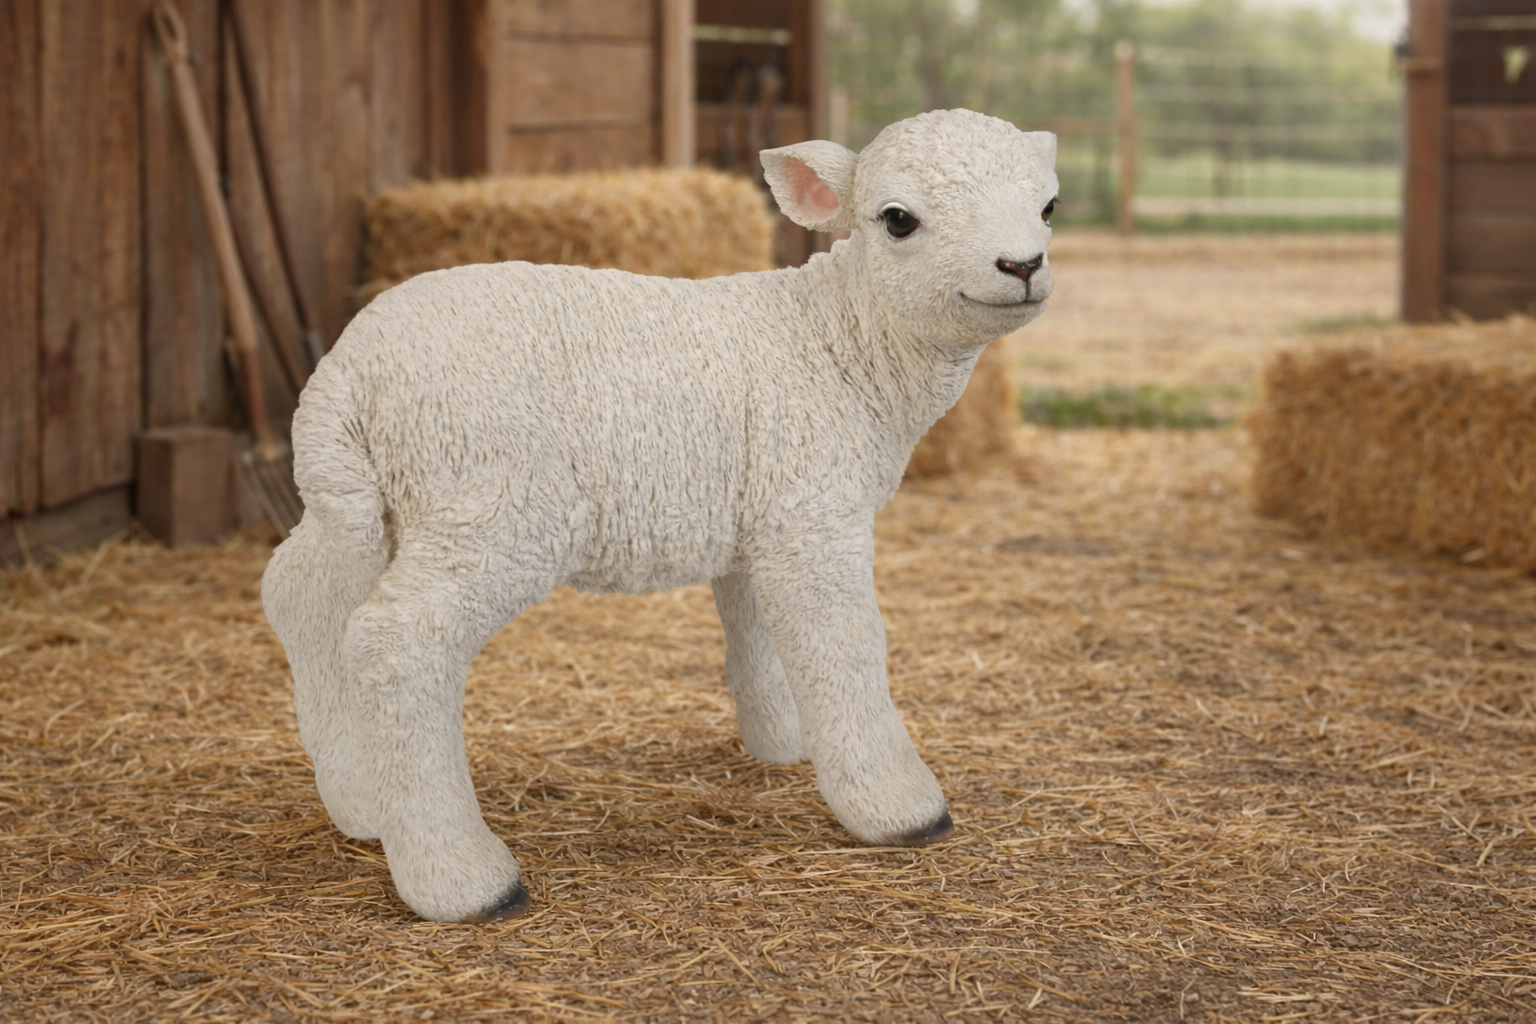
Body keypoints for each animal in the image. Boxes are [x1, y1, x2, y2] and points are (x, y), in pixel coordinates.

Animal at [261, 108, 1058, 923]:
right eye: (898, 219)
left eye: (1048, 206)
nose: (1022, 265)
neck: (840, 342)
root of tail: (344, 376)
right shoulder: (812, 515)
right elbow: (846, 648)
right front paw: (897, 805)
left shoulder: (760, 522)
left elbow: (760, 638)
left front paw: (788, 741)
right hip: (489, 505)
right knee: (396, 643)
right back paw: (461, 879)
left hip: (368, 503)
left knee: (301, 595)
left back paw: (362, 804)